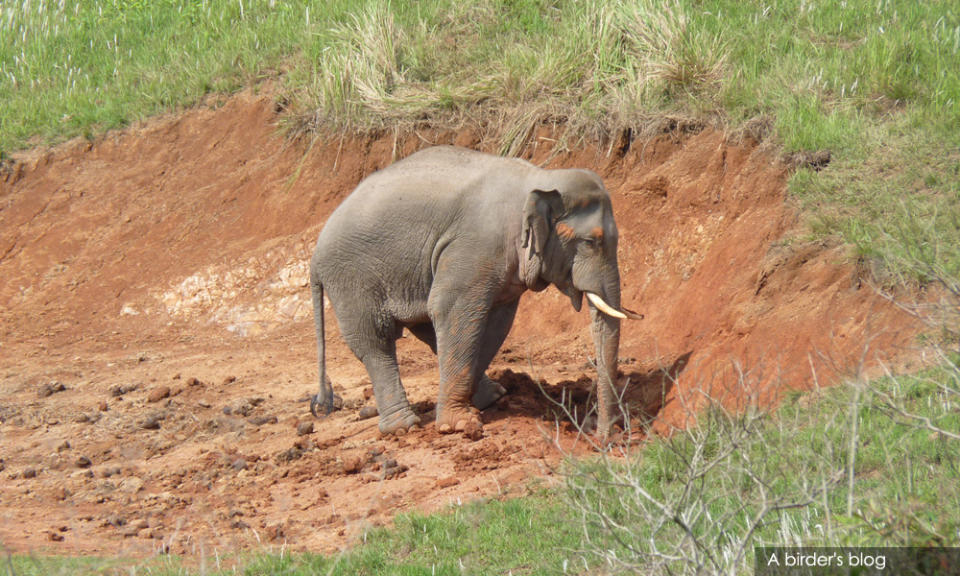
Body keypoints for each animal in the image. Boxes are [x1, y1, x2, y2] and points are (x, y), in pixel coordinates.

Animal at [308, 146, 636, 438]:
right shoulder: (474, 248)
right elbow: (452, 309)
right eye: (591, 242)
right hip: (351, 279)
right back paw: (403, 427)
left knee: (428, 331)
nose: (602, 434)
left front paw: (485, 403)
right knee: (375, 341)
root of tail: (315, 252)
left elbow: (497, 322)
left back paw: (493, 394)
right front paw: (459, 425)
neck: (539, 177)